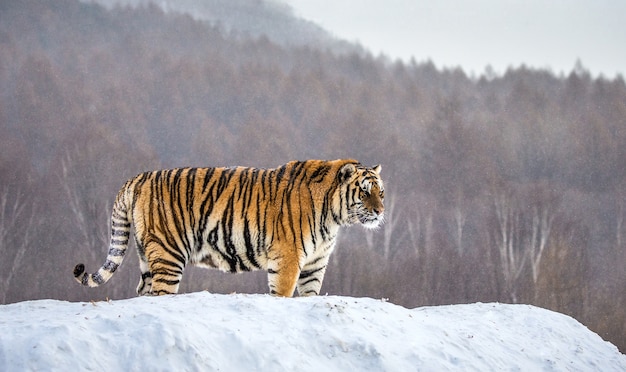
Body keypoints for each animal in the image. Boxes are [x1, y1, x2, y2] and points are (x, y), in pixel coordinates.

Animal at [73, 158, 386, 298]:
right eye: (364, 192)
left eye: (380, 192)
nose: (381, 212)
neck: (334, 217)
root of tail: (137, 178)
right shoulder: (288, 259)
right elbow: (283, 294)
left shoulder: (315, 264)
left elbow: (310, 295)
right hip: (168, 254)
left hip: (146, 256)